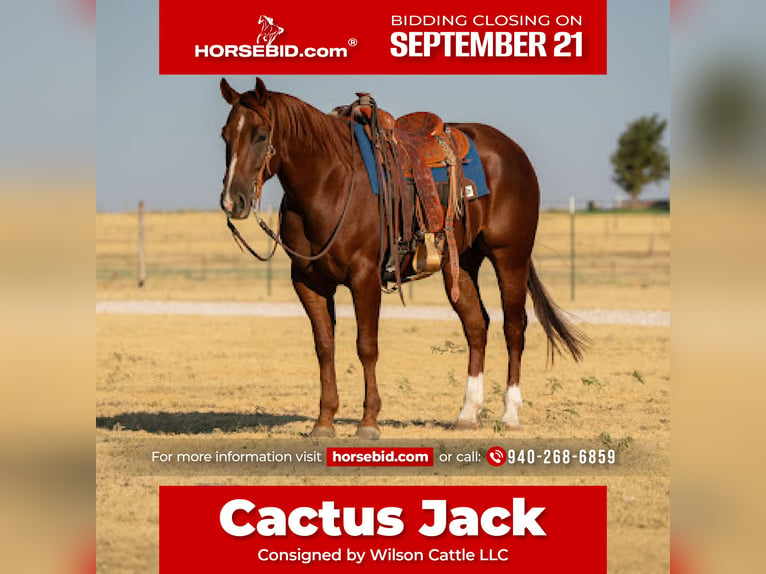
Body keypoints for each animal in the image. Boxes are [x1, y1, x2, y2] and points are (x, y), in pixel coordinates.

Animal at [218, 77, 587, 439]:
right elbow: (325, 347)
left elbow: (366, 346)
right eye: (225, 135)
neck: (329, 182)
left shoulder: (364, 277)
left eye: (260, 135)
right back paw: (467, 413)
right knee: (476, 325)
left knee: (514, 326)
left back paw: (510, 414)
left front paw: (368, 422)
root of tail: (513, 151)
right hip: (462, 263)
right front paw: (323, 422)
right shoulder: (309, 283)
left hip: (510, 257)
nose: (232, 201)